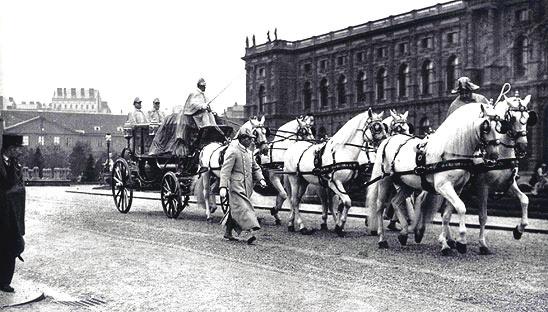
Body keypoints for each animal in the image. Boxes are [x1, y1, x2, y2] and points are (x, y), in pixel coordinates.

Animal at [368, 102, 506, 254]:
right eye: (485, 126)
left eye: (499, 126)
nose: (494, 155)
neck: (451, 149)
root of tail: (388, 140)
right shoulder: (443, 186)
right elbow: (461, 208)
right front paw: (461, 240)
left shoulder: (457, 188)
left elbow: (447, 215)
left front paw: (445, 243)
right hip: (385, 180)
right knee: (380, 206)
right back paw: (382, 239)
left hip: (407, 184)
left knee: (396, 202)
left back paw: (404, 232)